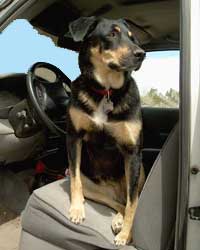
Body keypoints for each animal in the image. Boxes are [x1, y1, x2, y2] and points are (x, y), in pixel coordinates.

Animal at [66, 16, 146, 246]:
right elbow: (75, 180)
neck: (107, 90)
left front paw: (126, 234)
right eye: (112, 34)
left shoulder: (132, 152)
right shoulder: (73, 137)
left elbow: (133, 203)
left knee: (127, 200)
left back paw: (121, 223)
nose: (141, 54)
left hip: (140, 171)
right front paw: (76, 210)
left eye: (132, 38)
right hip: (91, 186)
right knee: (114, 201)